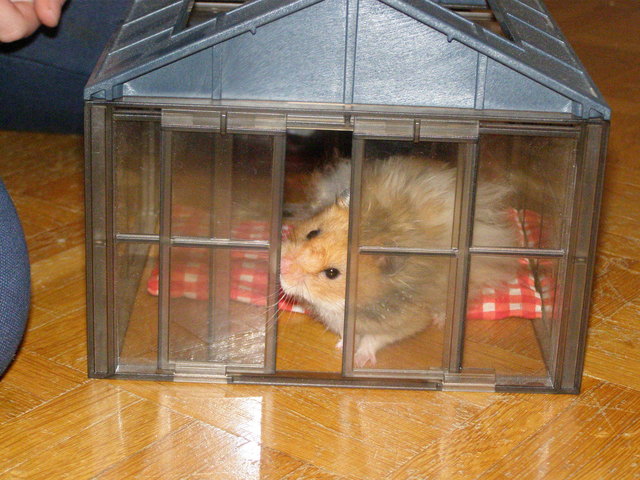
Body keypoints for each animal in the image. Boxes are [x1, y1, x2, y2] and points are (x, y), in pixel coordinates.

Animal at [279, 156, 519, 367]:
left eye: (331, 273)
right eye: (312, 233)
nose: (282, 266)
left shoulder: (401, 323)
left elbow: (372, 340)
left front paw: (359, 360)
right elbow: (349, 336)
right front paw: (341, 347)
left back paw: (440, 320)